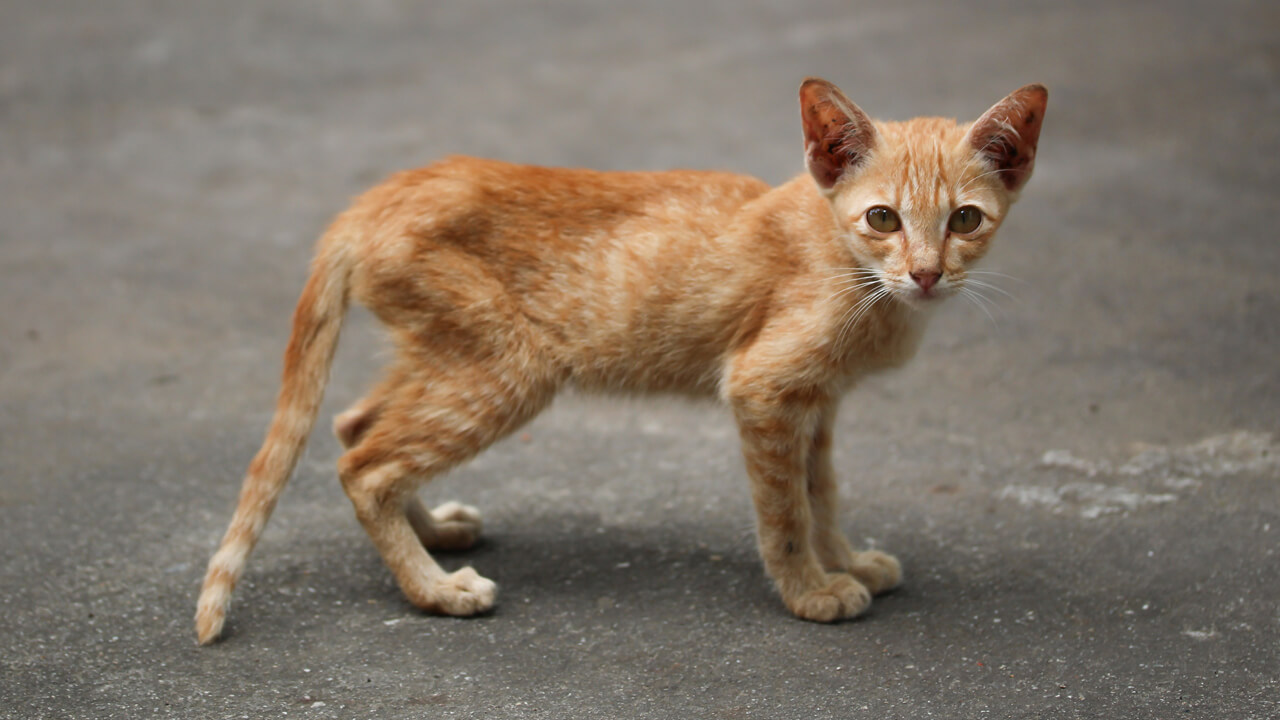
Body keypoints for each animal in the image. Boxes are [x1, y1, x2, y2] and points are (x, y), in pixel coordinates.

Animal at [194, 75, 1044, 640]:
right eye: (883, 218)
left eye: (966, 220)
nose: (927, 274)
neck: (858, 279)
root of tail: (375, 197)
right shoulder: (764, 390)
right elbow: (786, 512)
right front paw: (810, 590)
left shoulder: (817, 404)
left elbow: (823, 493)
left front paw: (848, 560)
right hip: (509, 369)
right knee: (364, 465)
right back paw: (435, 590)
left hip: (448, 356)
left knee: (356, 425)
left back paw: (434, 532)